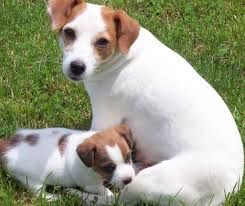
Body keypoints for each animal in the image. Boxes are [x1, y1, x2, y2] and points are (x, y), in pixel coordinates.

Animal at [0, 124, 134, 201]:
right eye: (109, 167)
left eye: (128, 157)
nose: (129, 180)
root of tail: (7, 147)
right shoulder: (90, 185)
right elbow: (106, 192)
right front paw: (111, 195)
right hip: (32, 180)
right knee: (39, 194)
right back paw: (55, 197)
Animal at [47, 0, 243, 205]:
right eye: (69, 32)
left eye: (102, 42)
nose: (77, 67)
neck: (122, 56)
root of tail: (226, 192)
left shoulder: (104, 116)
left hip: (145, 181)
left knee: (114, 200)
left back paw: (73, 193)